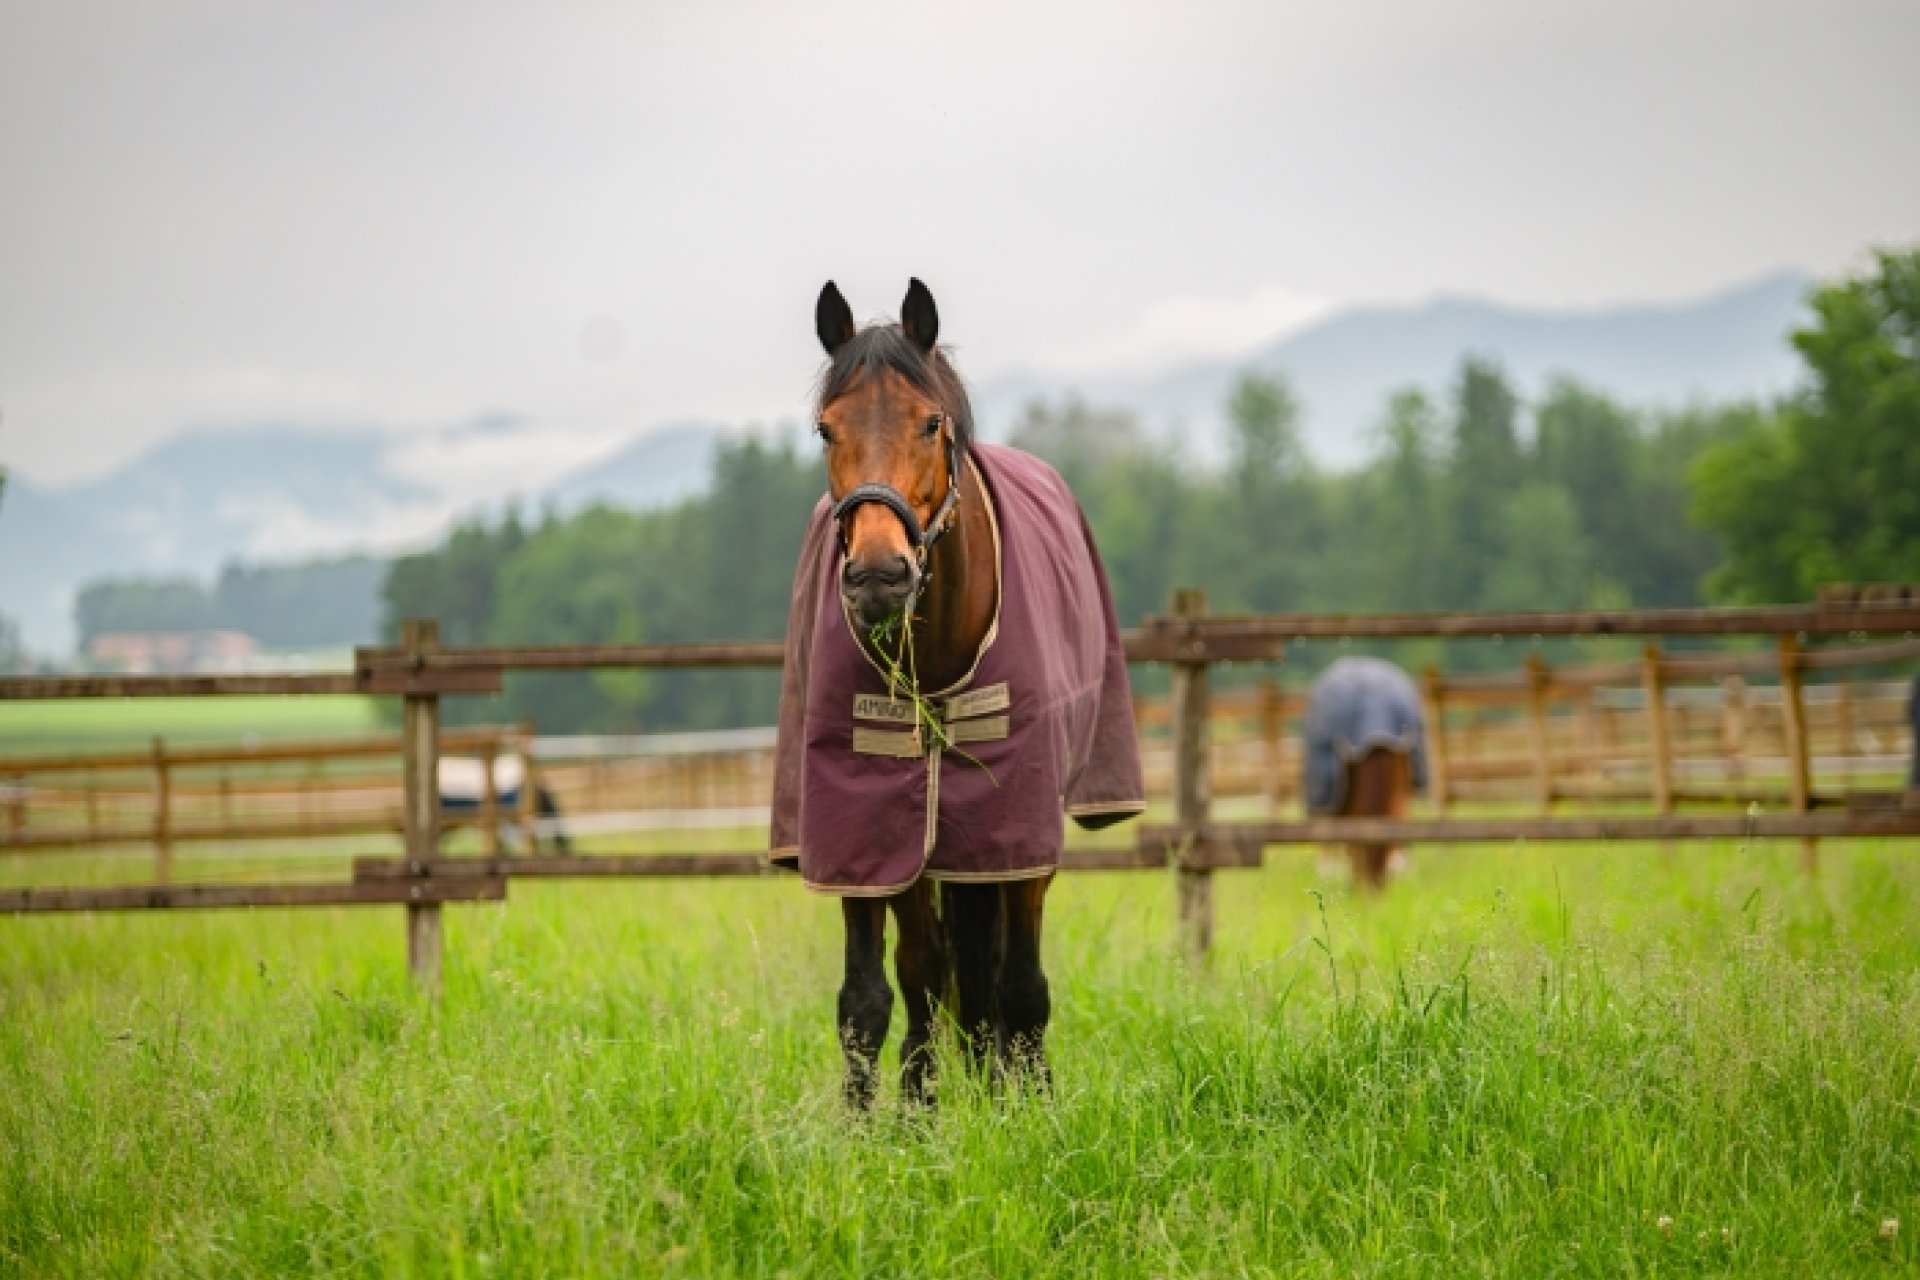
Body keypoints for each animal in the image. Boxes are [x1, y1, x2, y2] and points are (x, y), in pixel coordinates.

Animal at [770, 279, 1144, 1107]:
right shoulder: (868, 833)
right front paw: (888, 1120)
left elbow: (1020, 986)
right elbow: (871, 997)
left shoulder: (1017, 832)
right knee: (934, 972)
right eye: (826, 428)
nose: (880, 575)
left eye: (930, 420)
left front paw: (1027, 1106)